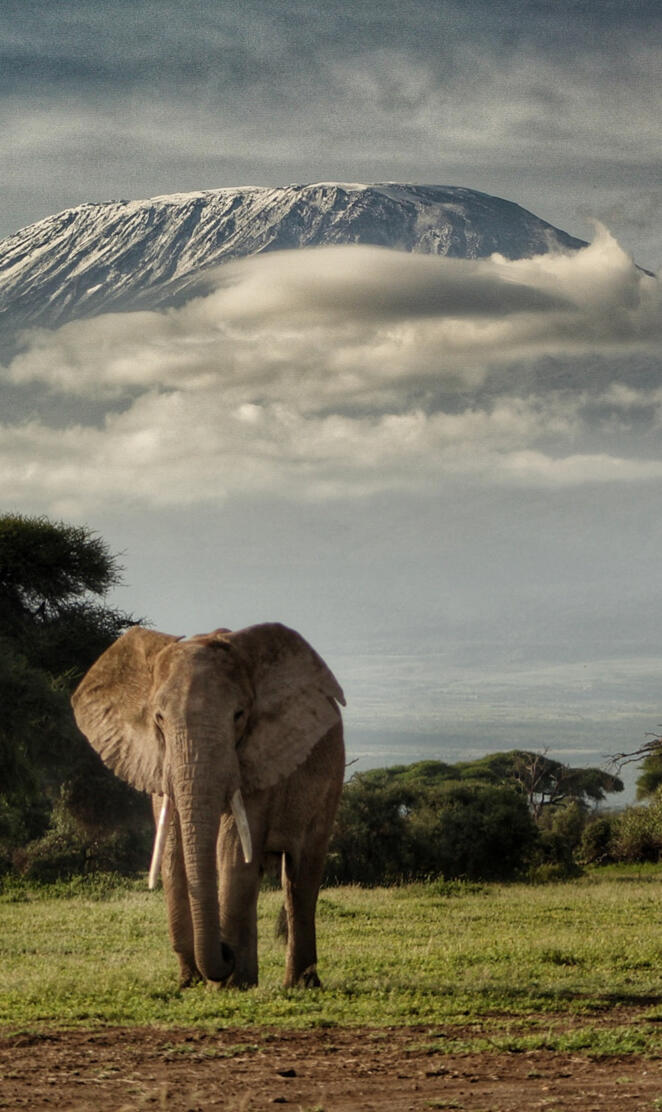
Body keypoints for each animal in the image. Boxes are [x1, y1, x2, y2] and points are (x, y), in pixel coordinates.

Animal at [71, 621, 345, 989]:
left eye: (239, 715)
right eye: (159, 718)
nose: (225, 953)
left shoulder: (259, 758)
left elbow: (234, 849)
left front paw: (230, 984)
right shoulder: (159, 763)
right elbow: (173, 852)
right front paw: (190, 982)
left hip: (330, 779)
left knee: (300, 877)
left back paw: (299, 984)